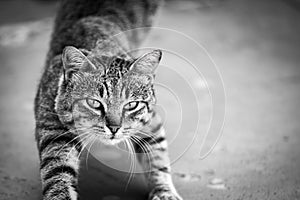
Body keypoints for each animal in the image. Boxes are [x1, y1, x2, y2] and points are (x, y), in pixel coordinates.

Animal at [34, 0, 182, 200]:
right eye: (95, 103)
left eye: (132, 105)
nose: (114, 128)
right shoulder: (53, 126)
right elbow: (57, 170)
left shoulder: (150, 121)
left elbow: (157, 158)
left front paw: (164, 192)